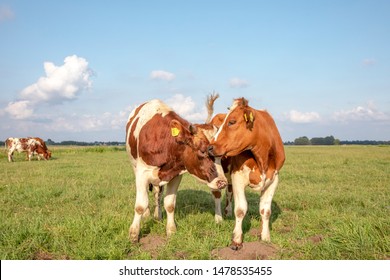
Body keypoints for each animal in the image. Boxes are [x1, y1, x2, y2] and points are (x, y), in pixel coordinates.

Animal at [126, 99, 227, 243]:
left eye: (221, 155)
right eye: (203, 151)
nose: (222, 182)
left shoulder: (175, 175)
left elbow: (169, 204)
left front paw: (171, 230)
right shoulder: (142, 173)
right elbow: (140, 205)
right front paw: (134, 234)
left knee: (157, 194)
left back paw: (158, 215)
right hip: (135, 167)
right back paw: (147, 215)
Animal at [209, 98, 284, 249]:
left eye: (232, 121)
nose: (210, 146)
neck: (262, 157)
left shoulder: (273, 179)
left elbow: (266, 211)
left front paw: (265, 238)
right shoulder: (238, 176)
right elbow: (240, 209)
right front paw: (237, 240)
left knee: (229, 192)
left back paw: (227, 212)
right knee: (217, 195)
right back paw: (219, 218)